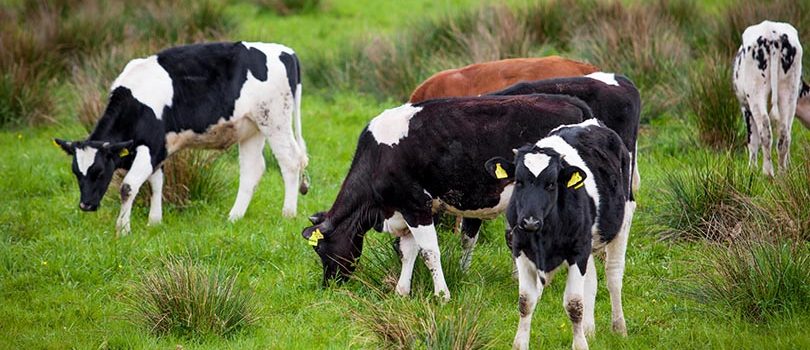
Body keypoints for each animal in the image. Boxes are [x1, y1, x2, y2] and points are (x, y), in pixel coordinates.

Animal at [300, 93, 592, 300]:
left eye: (321, 250)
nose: (328, 285)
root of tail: (570, 100)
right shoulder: (407, 209)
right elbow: (408, 252)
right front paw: (401, 291)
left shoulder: (416, 206)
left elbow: (429, 252)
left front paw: (442, 295)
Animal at [482, 119, 636, 350]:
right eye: (518, 181)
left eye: (552, 184)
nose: (530, 221)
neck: (543, 236)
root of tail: (592, 122)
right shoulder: (520, 250)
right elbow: (525, 302)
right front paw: (520, 344)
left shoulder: (577, 252)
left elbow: (574, 304)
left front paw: (580, 345)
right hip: (588, 242)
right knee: (591, 280)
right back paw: (589, 330)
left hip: (623, 220)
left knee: (614, 275)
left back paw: (619, 328)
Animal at [732, 20, 808, 176]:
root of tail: (772, 33)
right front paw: (789, 165)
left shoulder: (745, 108)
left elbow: (752, 140)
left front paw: (751, 169)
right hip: (789, 91)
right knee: (785, 134)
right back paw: (782, 173)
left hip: (755, 93)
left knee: (765, 130)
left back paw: (767, 173)